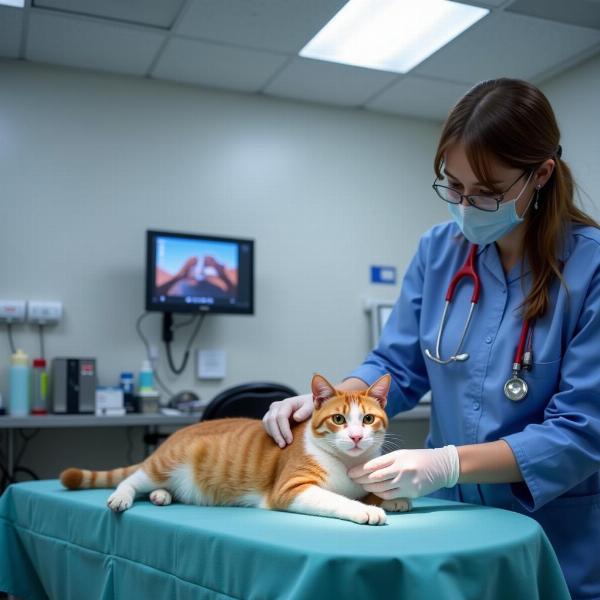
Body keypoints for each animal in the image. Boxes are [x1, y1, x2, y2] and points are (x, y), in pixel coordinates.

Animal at [61, 372, 410, 524]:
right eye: (338, 419)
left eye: (367, 419)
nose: (356, 437)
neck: (345, 464)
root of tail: (180, 431)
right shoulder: (290, 489)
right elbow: (336, 499)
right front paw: (367, 509)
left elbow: (368, 491)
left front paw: (388, 498)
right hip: (164, 463)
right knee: (132, 479)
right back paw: (122, 496)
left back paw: (162, 496)